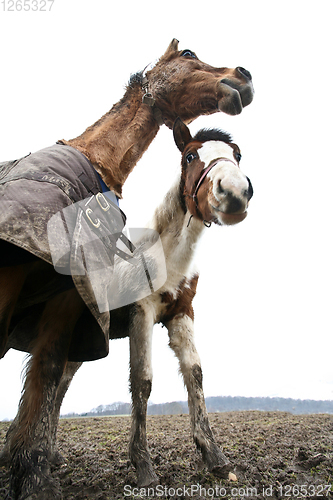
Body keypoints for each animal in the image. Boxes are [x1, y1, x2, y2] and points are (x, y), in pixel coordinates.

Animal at [0, 40, 253, 500]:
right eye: (191, 156)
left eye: (237, 156)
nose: (234, 193)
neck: (165, 255)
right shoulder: (142, 312)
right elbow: (143, 381)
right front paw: (144, 468)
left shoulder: (181, 312)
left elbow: (196, 375)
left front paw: (216, 459)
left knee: (59, 380)